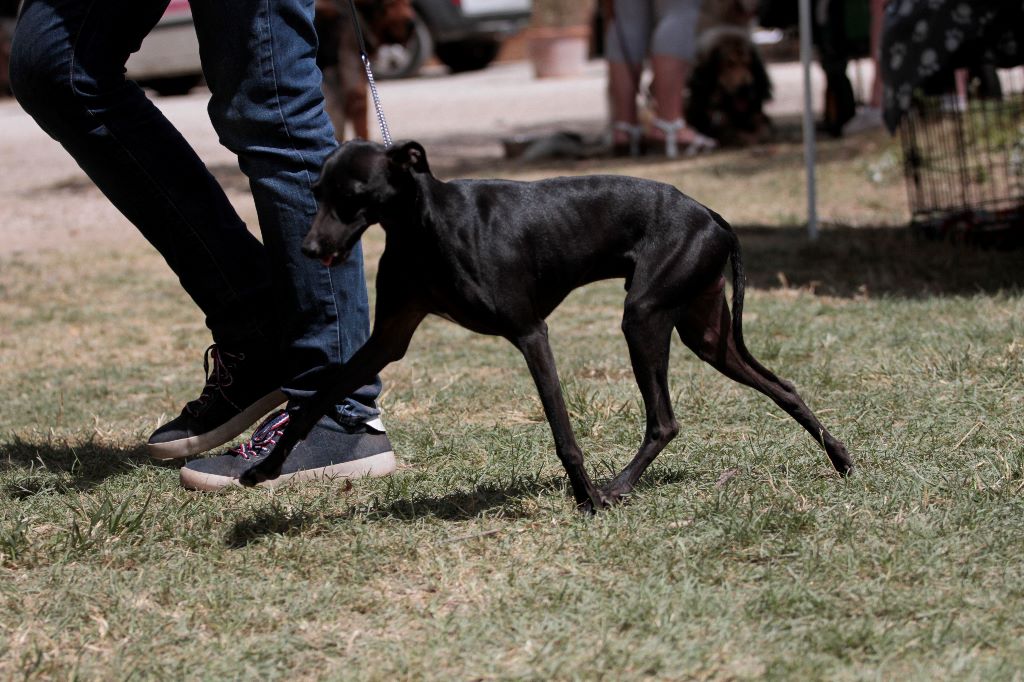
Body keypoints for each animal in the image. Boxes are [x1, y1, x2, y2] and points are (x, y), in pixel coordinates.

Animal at [241, 140, 856, 507]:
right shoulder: (387, 340)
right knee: (783, 385)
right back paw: (841, 458)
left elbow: (564, 434)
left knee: (663, 421)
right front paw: (266, 468)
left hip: (645, 317)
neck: (426, 227)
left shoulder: (531, 333)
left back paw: (615, 489)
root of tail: (712, 215)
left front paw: (585, 499)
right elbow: (318, 398)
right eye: (317, 192)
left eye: (354, 196)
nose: (309, 247)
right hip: (708, 335)